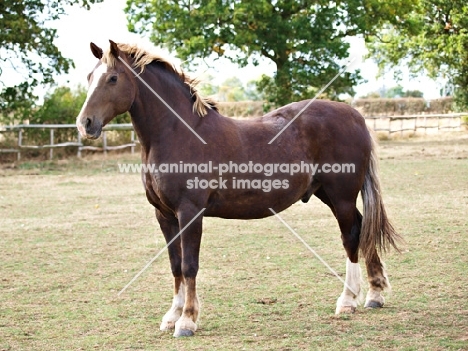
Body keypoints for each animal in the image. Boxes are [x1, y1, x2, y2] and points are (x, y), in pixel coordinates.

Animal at [76, 40, 398, 338]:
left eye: (112, 78)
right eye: (90, 76)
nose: (85, 124)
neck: (178, 133)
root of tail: (354, 115)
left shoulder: (190, 213)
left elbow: (189, 265)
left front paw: (187, 321)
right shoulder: (164, 215)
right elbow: (175, 265)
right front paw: (172, 316)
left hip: (341, 196)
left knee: (351, 236)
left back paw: (348, 301)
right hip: (328, 194)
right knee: (363, 227)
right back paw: (375, 294)